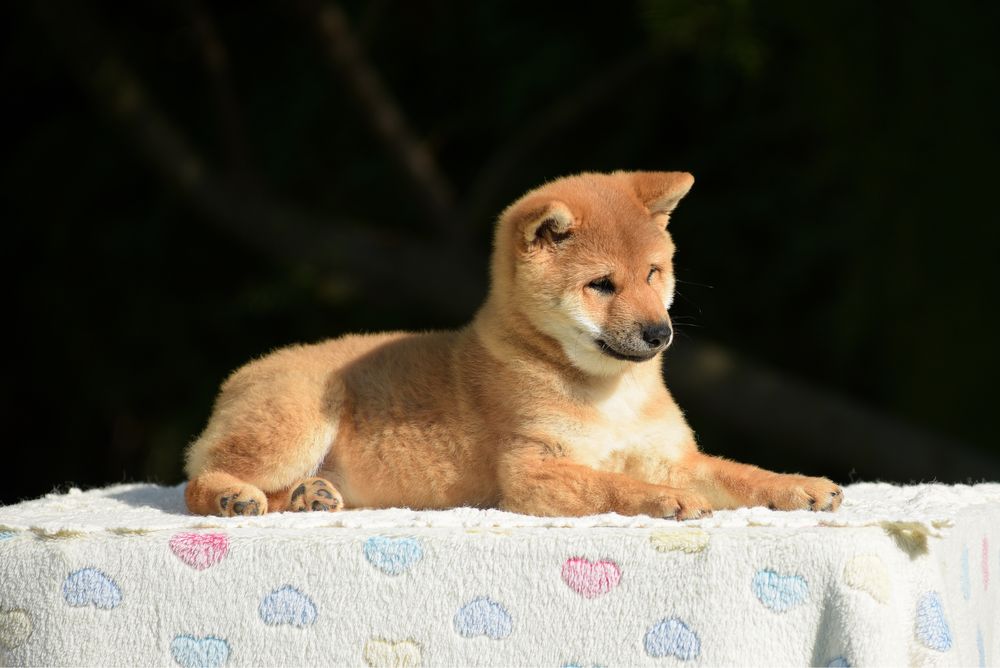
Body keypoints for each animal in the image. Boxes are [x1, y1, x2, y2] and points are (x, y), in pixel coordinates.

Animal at [184, 171, 840, 516]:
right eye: (602, 285)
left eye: (655, 273)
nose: (660, 333)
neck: (609, 395)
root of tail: (236, 378)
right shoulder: (533, 470)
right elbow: (613, 484)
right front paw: (661, 500)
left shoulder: (671, 455)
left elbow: (742, 474)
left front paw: (801, 486)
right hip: (295, 426)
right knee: (198, 479)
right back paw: (237, 498)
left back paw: (308, 495)